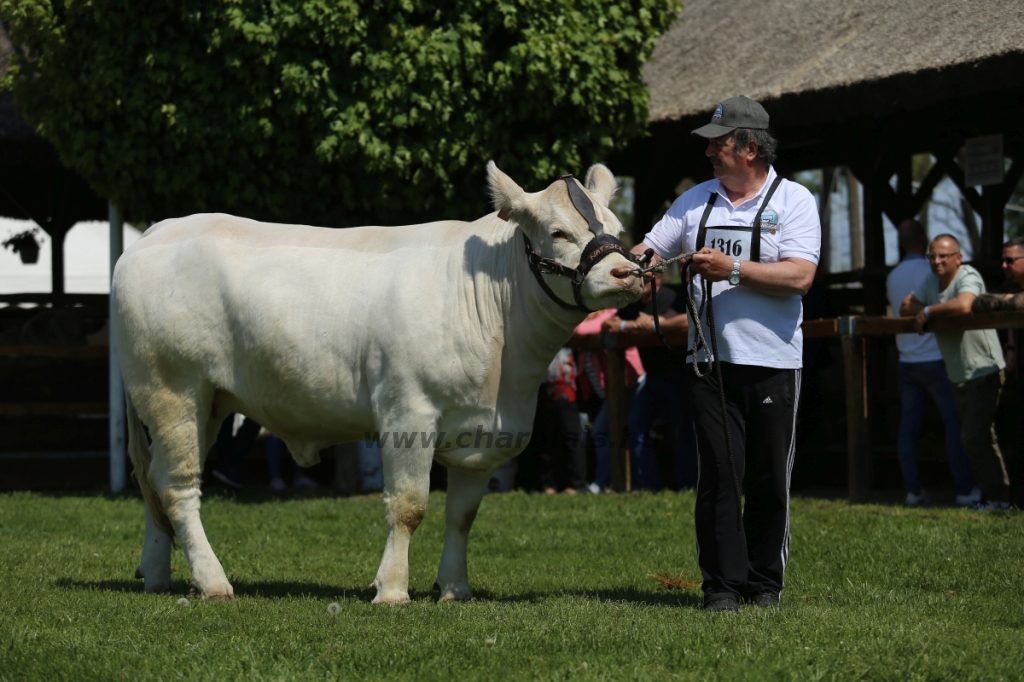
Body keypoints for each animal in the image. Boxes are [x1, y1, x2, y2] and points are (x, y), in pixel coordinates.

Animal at [112, 161, 638, 602]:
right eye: (558, 231)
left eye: (617, 231)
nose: (627, 272)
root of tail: (160, 228)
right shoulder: (408, 411)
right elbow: (409, 506)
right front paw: (392, 590)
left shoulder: (483, 433)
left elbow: (462, 515)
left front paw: (454, 589)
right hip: (171, 389)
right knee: (178, 486)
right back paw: (213, 581)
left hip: (209, 402)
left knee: (157, 479)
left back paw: (157, 574)